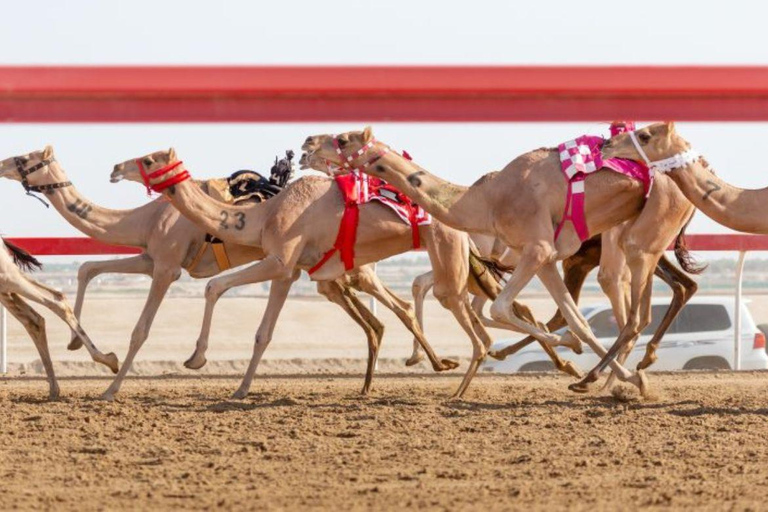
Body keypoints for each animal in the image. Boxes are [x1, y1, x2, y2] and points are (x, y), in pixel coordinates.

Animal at [0, 238, 118, 398]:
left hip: (6, 277)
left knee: (56, 300)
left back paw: (109, 360)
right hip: (5, 286)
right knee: (33, 320)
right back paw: (54, 389)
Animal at [300, 125, 704, 396]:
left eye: (342, 139)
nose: (306, 144)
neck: (486, 200)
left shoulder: (536, 248)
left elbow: (503, 309)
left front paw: (567, 352)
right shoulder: (544, 257)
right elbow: (577, 320)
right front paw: (611, 370)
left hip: (645, 232)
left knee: (637, 308)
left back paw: (615, 373)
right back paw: (616, 375)